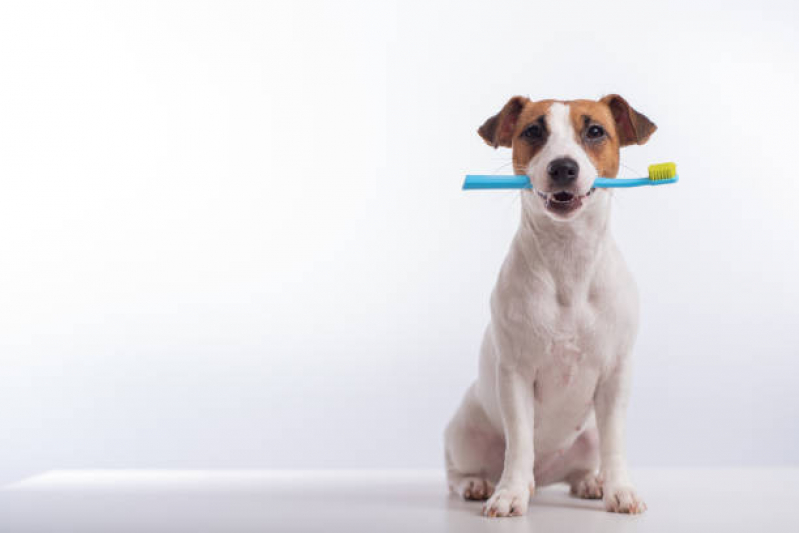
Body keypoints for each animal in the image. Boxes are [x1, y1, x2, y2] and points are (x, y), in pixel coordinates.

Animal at [444, 94, 656, 516]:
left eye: (595, 131)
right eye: (532, 131)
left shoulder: (616, 376)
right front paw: (509, 494)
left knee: (585, 463)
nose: (563, 167)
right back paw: (478, 483)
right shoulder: (515, 376)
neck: (568, 259)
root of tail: (543, 479)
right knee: (458, 470)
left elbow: (615, 442)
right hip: (464, 430)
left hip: (587, 436)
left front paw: (619, 489)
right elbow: (519, 443)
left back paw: (591, 481)